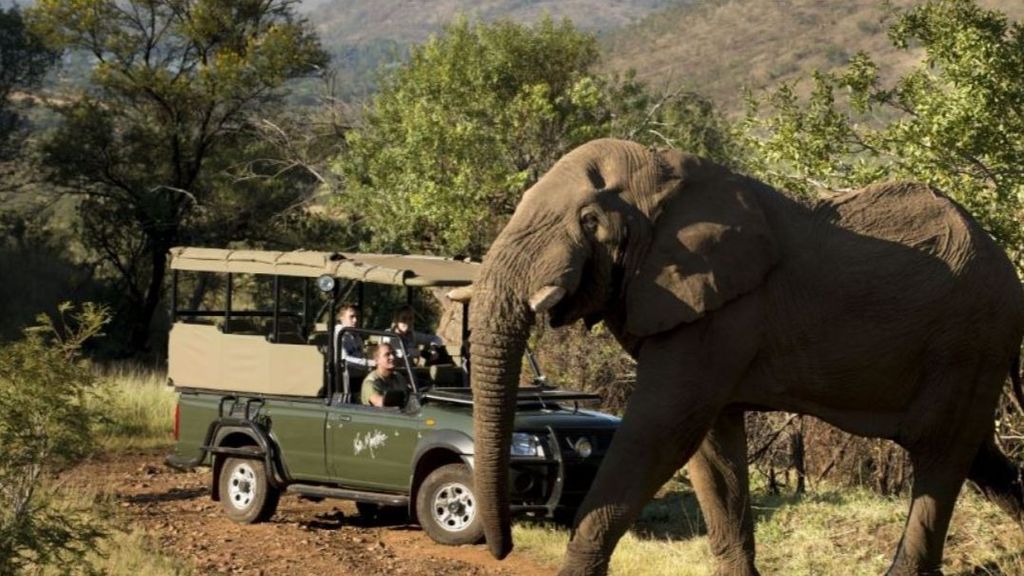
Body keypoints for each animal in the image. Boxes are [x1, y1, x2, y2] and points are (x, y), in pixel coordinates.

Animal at [462, 138, 1024, 573]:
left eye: (589, 219)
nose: (499, 548)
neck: (664, 175)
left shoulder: (723, 310)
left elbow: (662, 430)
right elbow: (712, 451)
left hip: (972, 338)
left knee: (939, 455)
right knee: (979, 459)